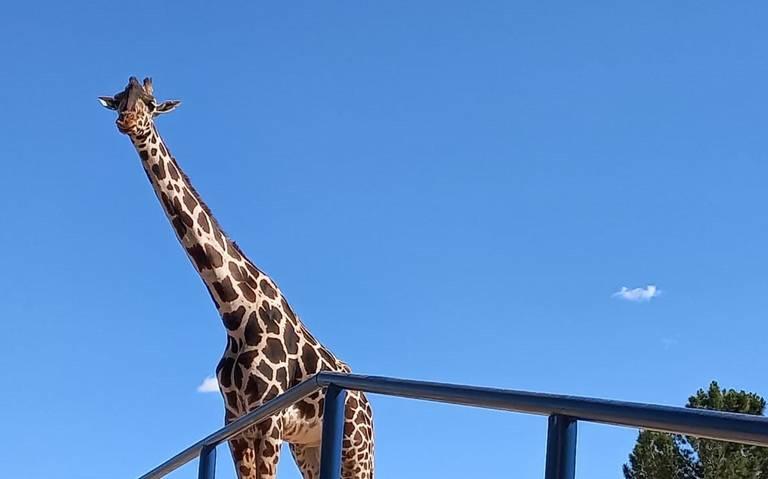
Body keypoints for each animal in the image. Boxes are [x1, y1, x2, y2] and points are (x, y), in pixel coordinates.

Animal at [99, 77, 374, 479]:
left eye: (150, 103)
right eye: (120, 99)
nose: (127, 121)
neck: (235, 312)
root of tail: (366, 402)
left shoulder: (269, 419)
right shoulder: (235, 422)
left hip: (356, 445)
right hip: (309, 447)